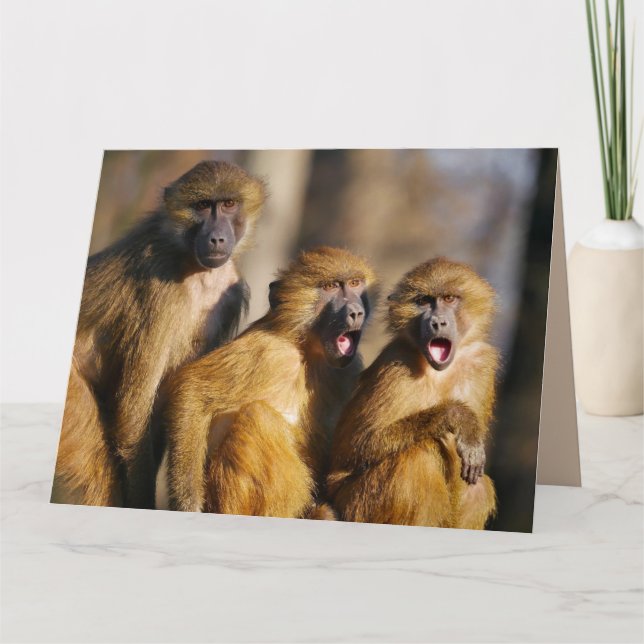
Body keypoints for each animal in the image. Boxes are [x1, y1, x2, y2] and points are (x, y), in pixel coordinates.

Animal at [51, 160, 266, 509]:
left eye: (229, 204)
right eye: (202, 206)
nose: (217, 239)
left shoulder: (231, 296)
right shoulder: (160, 291)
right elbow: (135, 410)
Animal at [155, 247, 376, 517]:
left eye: (355, 284)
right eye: (331, 286)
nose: (356, 312)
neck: (306, 351)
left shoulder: (348, 369)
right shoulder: (268, 351)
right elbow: (192, 389)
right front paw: (188, 505)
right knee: (258, 417)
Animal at [326, 257, 498, 529]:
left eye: (449, 298)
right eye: (424, 301)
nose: (437, 322)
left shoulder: (481, 364)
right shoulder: (396, 366)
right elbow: (357, 445)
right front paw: (458, 417)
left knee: (477, 488)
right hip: (356, 505)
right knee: (416, 459)